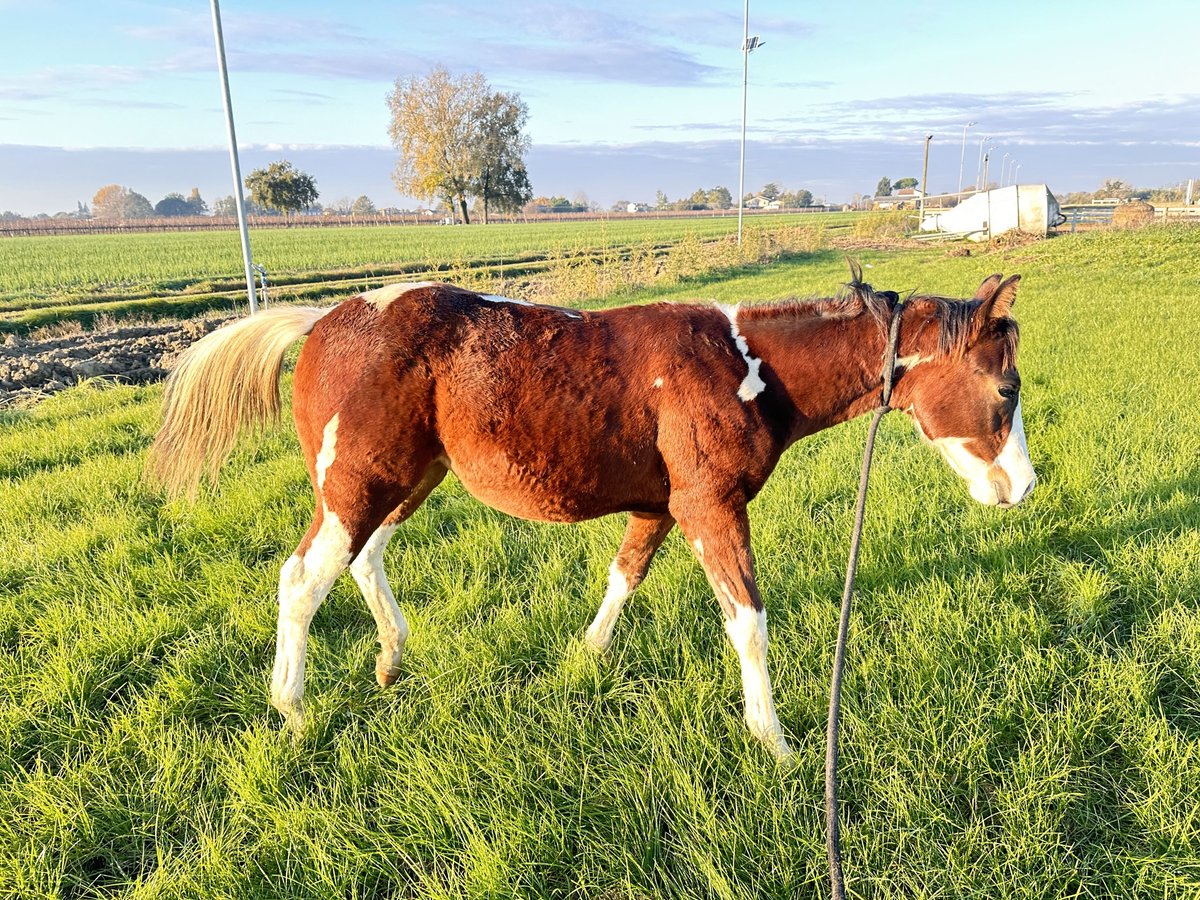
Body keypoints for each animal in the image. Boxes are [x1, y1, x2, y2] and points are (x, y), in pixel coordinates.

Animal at [147, 271, 1032, 758]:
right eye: (1006, 388)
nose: (1022, 488)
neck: (744, 366)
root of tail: (324, 319)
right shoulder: (712, 509)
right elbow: (747, 621)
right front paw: (775, 742)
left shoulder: (664, 507)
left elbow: (624, 575)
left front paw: (588, 656)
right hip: (357, 486)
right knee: (302, 579)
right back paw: (293, 711)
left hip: (409, 480)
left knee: (363, 560)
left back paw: (391, 660)